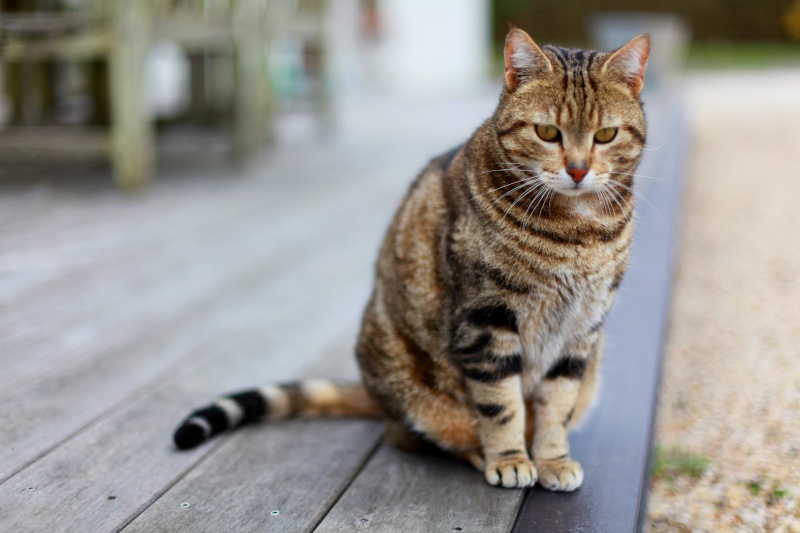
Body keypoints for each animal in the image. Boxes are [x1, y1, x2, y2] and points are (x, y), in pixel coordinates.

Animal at [172, 26, 648, 490]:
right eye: (547, 133)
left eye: (605, 135)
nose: (578, 170)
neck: (578, 231)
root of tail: (376, 398)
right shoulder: (486, 321)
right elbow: (501, 404)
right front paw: (511, 458)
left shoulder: (582, 330)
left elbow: (557, 406)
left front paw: (553, 460)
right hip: (402, 374)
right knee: (410, 434)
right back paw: (476, 452)